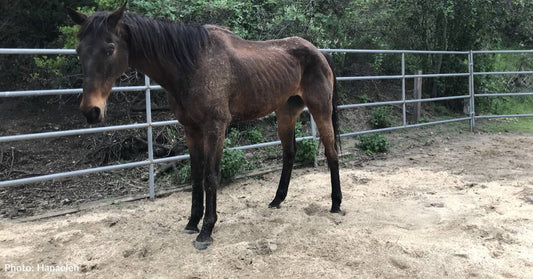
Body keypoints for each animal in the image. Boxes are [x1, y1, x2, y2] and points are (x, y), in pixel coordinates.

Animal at [67, 3, 340, 249]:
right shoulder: (191, 129)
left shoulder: (215, 127)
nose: (91, 111)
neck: (194, 63)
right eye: (79, 50)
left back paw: (336, 204)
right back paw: (277, 200)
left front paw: (206, 231)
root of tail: (319, 53)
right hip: (285, 113)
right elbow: (196, 176)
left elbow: (210, 176)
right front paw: (192, 223)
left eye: (109, 48)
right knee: (289, 153)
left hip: (320, 109)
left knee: (331, 151)